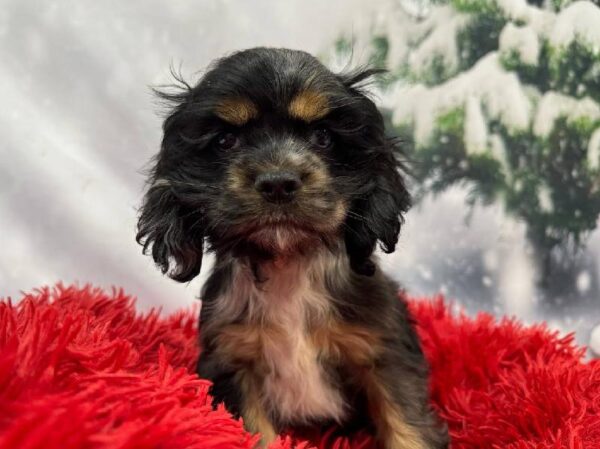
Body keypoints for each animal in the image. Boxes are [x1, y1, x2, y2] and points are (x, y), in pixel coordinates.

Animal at [136, 48, 446, 448]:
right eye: (225, 141)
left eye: (323, 137)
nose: (278, 182)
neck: (288, 264)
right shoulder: (233, 363)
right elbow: (255, 433)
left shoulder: (385, 352)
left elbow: (407, 426)